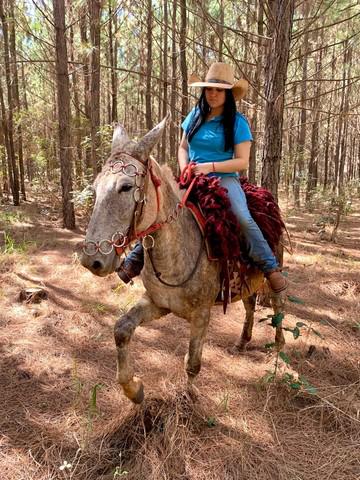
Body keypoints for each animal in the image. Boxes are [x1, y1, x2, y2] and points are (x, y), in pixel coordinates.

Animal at [80, 118, 286, 404]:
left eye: (126, 186)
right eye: (96, 187)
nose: (92, 260)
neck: (174, 253)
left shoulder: (201, 315)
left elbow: (192, 364)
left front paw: (190, 398)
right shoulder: (157, 304)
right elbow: (121, 329)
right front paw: (134, 390)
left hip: (271, 269)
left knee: (277, 303)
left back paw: (279, 344)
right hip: (246, 281)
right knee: (249, 305)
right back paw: (243, 341)